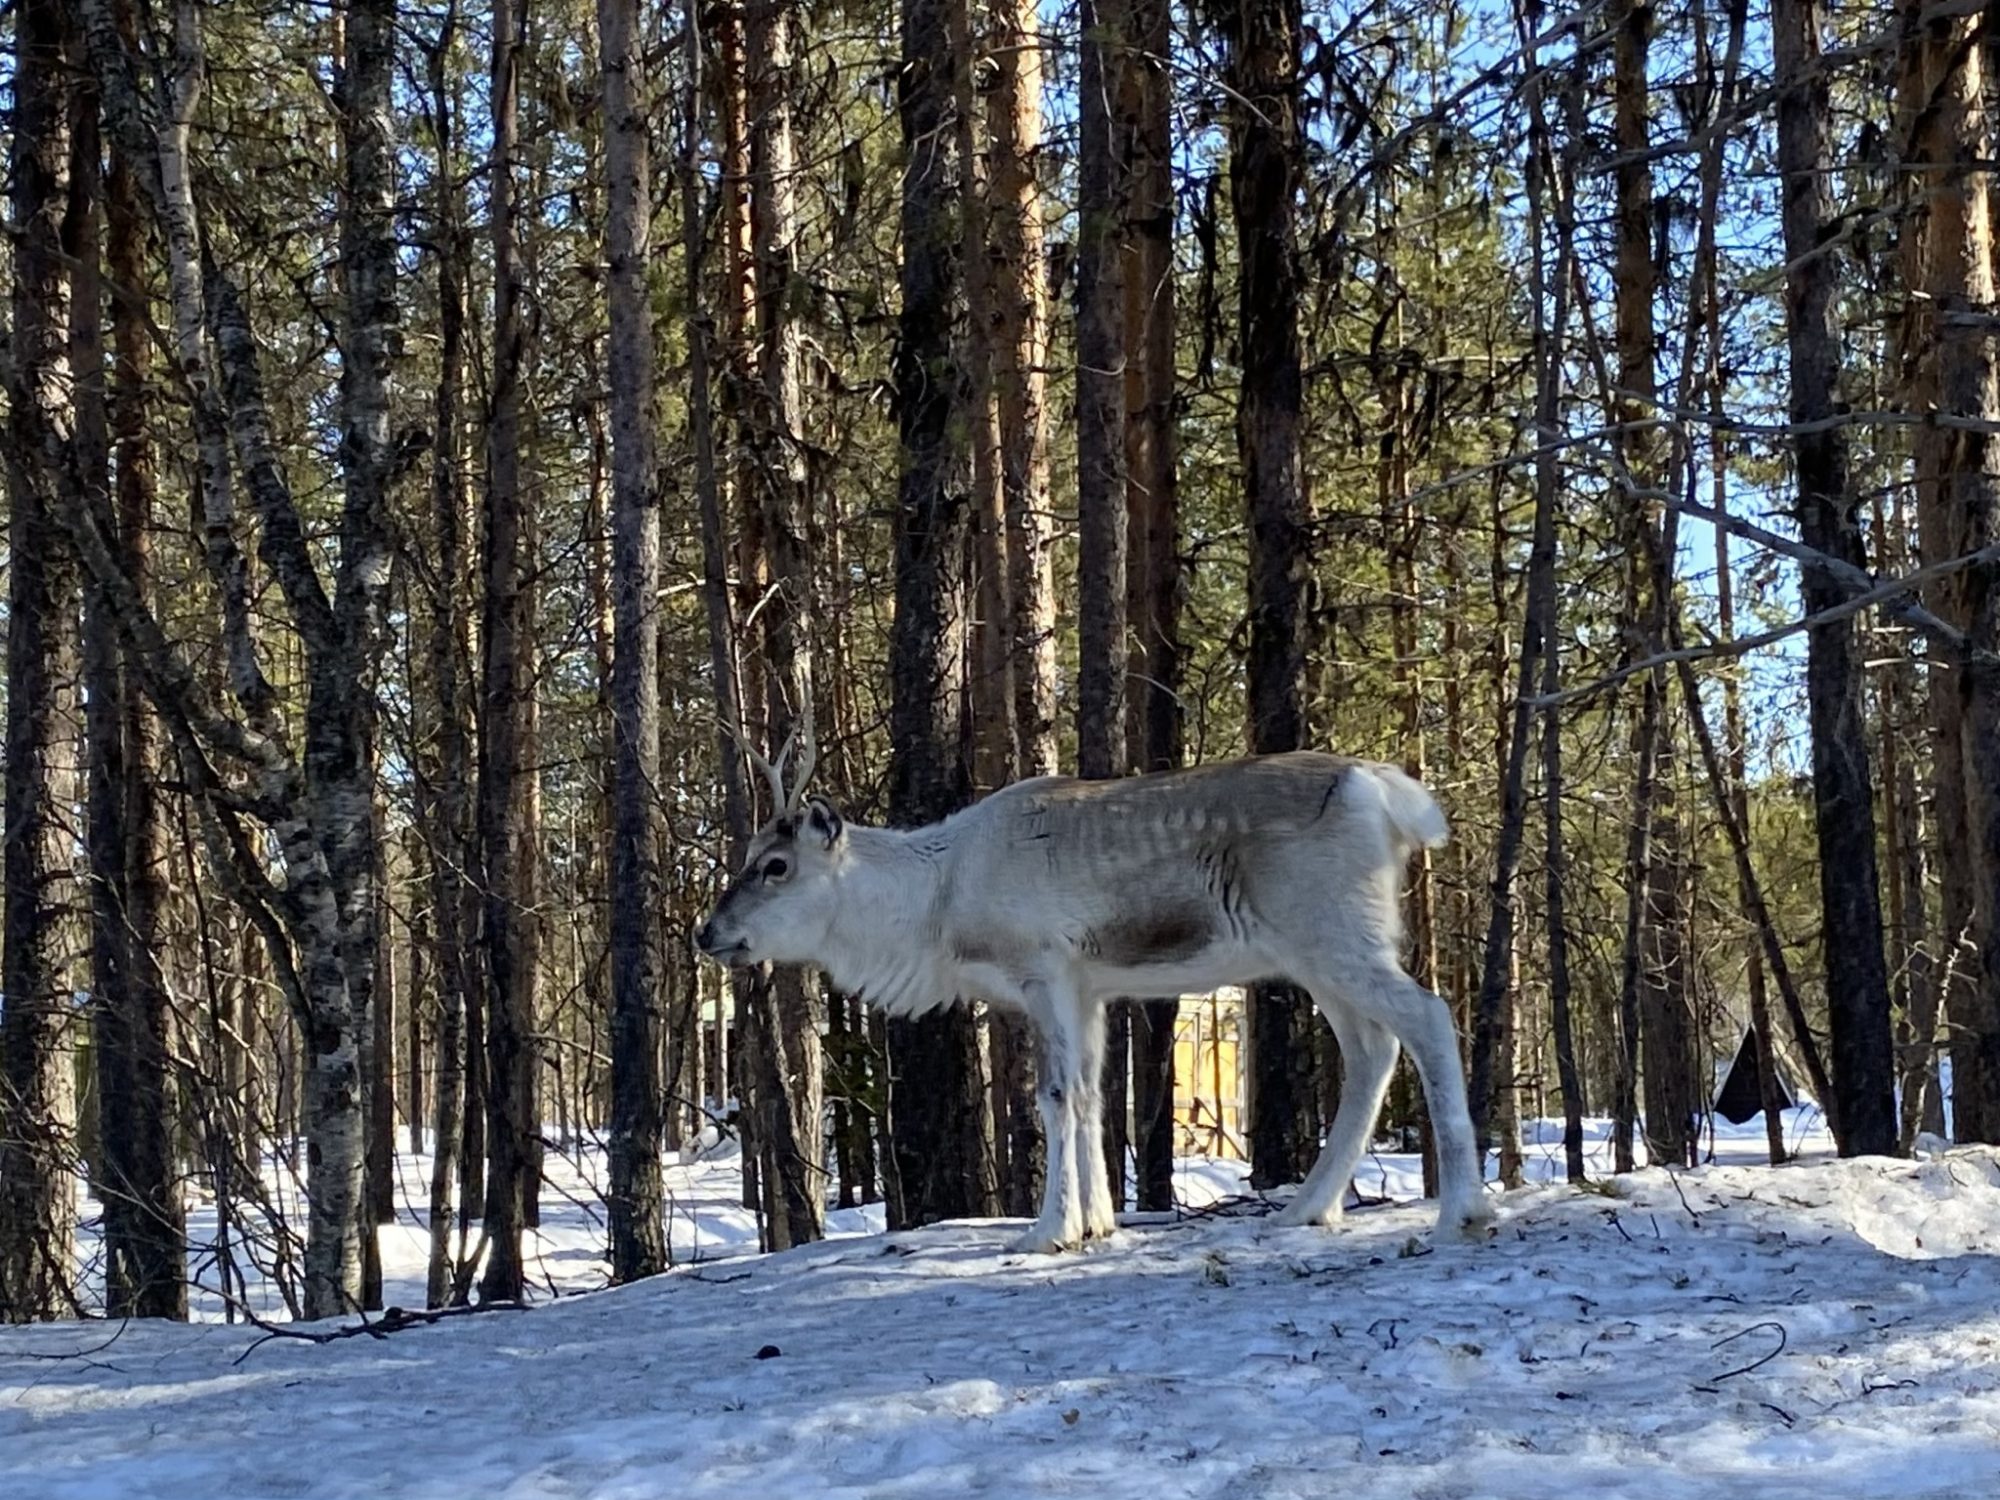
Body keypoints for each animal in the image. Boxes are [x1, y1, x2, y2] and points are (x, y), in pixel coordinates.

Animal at [695, 735, 1494, 1255]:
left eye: (774, 865)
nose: (709, 933)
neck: (936, 908)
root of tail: (1389, 797)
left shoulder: (1043, 967)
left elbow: (1053, 1097)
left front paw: (1049, 1230)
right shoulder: (1091, 987)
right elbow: (1089, 1095)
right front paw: (1098, 1222)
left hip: (1329, 929)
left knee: (1426, 1017)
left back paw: (1463, 1211)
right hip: (1319, 952)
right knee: (1373, 1050)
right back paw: (1304, 1210)